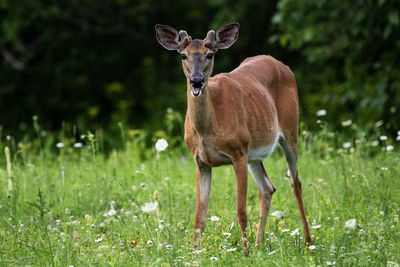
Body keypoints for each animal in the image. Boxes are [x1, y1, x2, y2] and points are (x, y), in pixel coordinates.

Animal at [155, 22, 310, 250]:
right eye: (183, 55)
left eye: (210, 54)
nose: (196, 81)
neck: (207, 130)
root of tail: (281, 64)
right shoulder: (201, 162)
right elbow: (199, 217)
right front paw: (194, 253)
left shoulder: (238, 152)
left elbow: (241, 211)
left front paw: (245, 252)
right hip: (254, 152)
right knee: (267, 188)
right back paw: (259, 244)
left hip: (289, 132)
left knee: (295, 182)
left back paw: (308, 242)